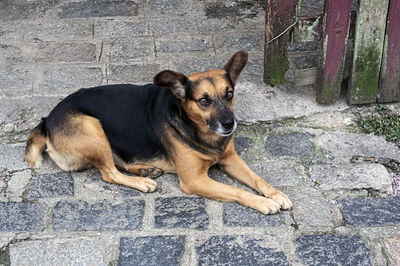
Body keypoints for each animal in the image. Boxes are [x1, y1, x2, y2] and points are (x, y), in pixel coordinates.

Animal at [25, 51, 294, 214]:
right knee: (109, 173)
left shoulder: (231, 159)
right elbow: (237, 190)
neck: (199, 130)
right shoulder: (195, 180)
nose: (230, 124)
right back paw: (142, 181)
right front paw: (263, 202)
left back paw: (145, 169)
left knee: (116, 163)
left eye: (229, 94)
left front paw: (276, 194)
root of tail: (46, 121)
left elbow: (258, 179)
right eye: (204, 100)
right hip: (92, 126)